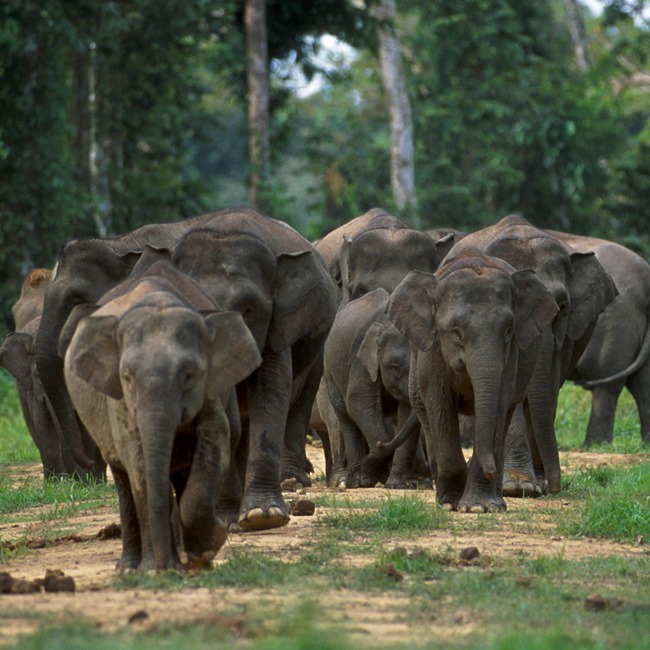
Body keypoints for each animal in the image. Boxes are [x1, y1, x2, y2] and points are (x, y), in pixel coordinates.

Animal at [62, 258, 260, 568]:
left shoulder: (210, 390)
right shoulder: (119, 400)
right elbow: (138, 460)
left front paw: (207, 548)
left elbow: (215, 441)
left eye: (189, 375)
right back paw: (131, 567)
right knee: (125, 478)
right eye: (127, 377)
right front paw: (159, 569)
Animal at [322, 286, 426, 488]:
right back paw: (355, 481)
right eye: (395, 367)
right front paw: (368, 476)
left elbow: (405, 413)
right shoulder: (359, 362)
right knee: (346, 417)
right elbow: (358, 403)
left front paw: (398, 485)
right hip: (330, 372)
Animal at [384, 248, 556, 512]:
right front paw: (451, 503)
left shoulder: (511, 357)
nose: (490, 471)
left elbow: (498, 404)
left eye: (509, 330)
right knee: (425, 412)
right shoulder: (433, 349)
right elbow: (440, 403)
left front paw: (480, 507)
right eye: (456, 332)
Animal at [442, 215, 616, 494]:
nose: (555, 487)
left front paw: (534, 486)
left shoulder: (566, 338)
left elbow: (546, 388)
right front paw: (516, 487)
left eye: (562, 307)